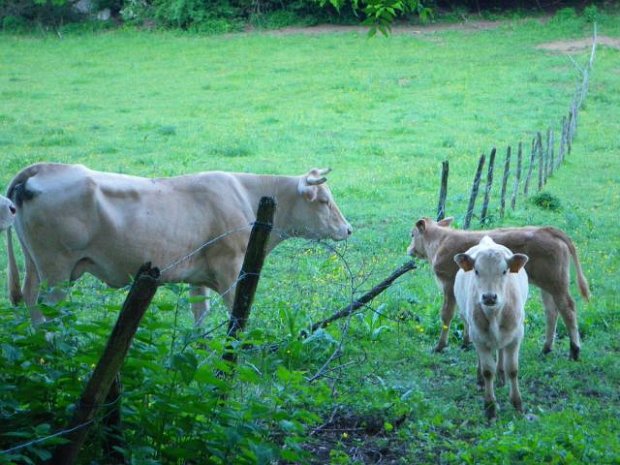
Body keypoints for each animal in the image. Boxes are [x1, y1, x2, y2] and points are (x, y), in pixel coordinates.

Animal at [6, 162, 354, 322]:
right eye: (324, 201)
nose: (348, 229)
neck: (246, 194)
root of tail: (46, 168)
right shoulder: (231, 267)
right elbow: (234, 310)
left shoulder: (198, 274)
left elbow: (200, 314)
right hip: (57, 270)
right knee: (47, 308)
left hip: (36, 266)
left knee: (30, 299)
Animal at [406, 216, 592, 360]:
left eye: (412, 234)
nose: (409, 249)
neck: (440, 241)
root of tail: (548, 230)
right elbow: (464, 315)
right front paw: (466, 343)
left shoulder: (448, 285)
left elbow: (446, 315)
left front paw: (440, 346)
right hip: (547, 285)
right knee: (551, 312)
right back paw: (546, 349)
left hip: (557, 283)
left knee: (568, 309)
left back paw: (574, 351)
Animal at [452, 236, 532, 420]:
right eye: (476, 271)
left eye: (504, 271)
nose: (489, 297)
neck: (494, 314)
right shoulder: (478, 336)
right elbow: (488, 370)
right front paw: (490, 408)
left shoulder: (517, 335)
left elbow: (513, 369)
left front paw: (517, 404)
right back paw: (481, 380)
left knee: (501, 352)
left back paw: (501, 375)